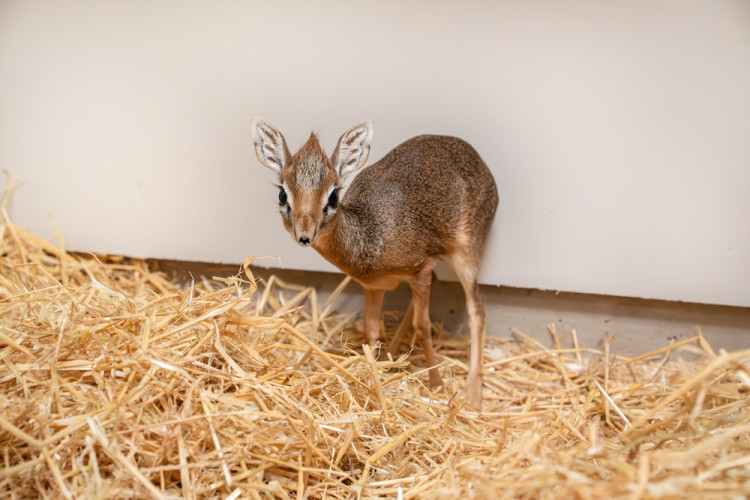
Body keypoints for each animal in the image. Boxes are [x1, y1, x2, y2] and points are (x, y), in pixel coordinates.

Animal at [251, 118, 498, 408]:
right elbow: (371, 333)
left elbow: (423, 327)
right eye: (283, 195)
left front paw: (437, 385)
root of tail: (479, 160)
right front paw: (373, 383)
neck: (369, 238)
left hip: (467, 252)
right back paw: (392, 355)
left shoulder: (421, 269)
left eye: (333, 196)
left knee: (477, 304)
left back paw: (474, 394)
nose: (304, 235)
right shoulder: (374, 286)